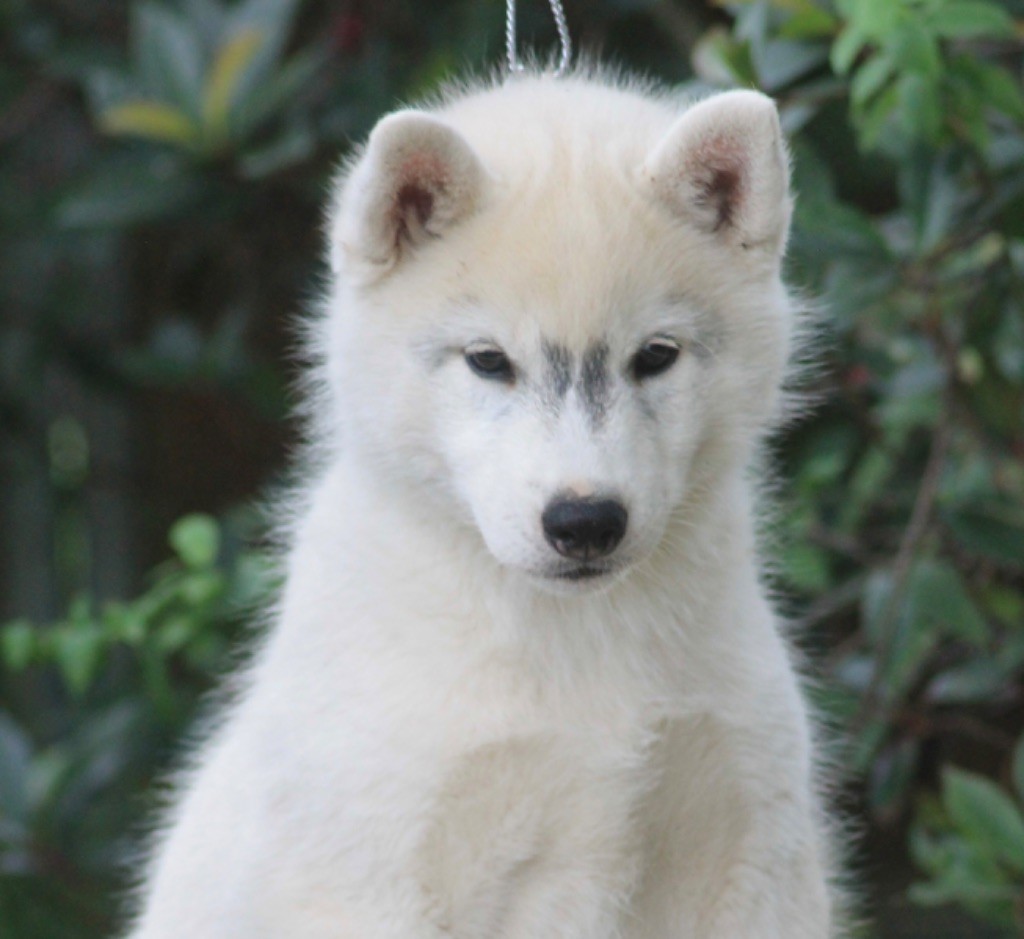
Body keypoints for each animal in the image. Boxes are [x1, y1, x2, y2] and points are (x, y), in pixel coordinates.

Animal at [125, 71, 839, 937]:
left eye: (656, 356)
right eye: (489, 361)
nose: (585, 522)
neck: (574, 649)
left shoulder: (754, 853)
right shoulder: (377, 876)